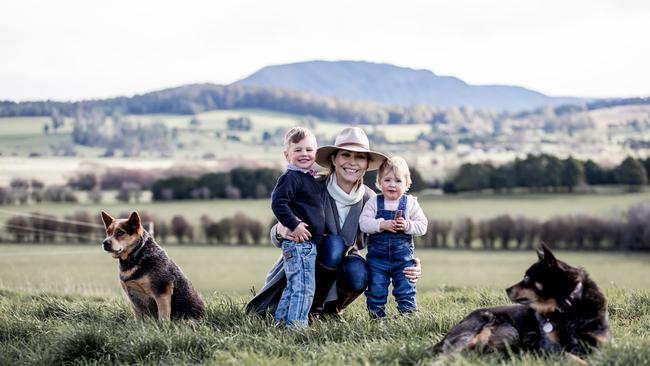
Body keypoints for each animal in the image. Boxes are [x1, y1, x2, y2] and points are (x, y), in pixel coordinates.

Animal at [432, 244, 612, 362]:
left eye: (526, 279)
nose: (506, 289)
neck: (568, 308)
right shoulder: (552, 349)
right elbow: (573, 358)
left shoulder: (604, 343)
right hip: (481, 330)